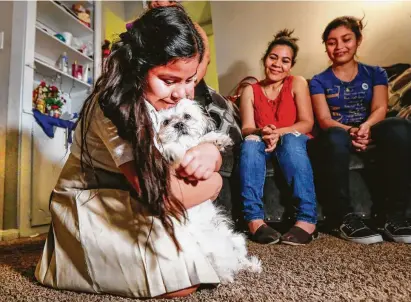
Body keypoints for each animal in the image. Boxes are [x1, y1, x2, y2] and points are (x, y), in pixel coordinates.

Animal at [156, 99, 262, 284]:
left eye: (187, 116)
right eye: (166, 121)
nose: (179, 124)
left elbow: (201, 141)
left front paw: (218, 139)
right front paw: (170, 151)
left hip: (235, 239)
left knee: (240, 259)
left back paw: (251, 267)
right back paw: (226, 276)